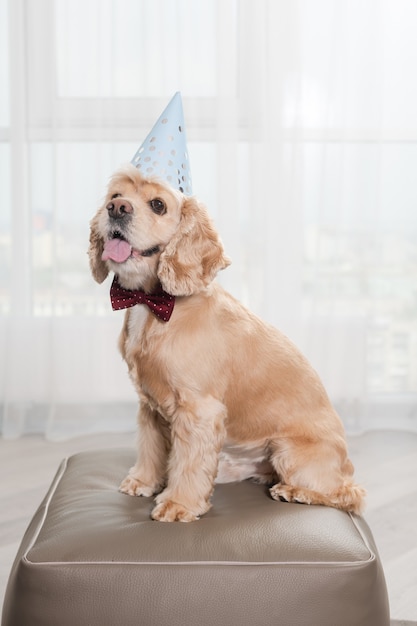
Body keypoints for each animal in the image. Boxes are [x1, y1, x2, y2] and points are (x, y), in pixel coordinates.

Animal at [88, 163, 364, 520]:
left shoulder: (199, 410)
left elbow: (188, 463)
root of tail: (346, 462)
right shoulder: (149, 405)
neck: (155, 304)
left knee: (347, 494)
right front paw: (143, 481)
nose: (116, 209)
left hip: (288, 450)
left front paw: (178, 504)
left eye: (158, 205)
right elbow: (150, 447)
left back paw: (294, 491)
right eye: (116, 195)